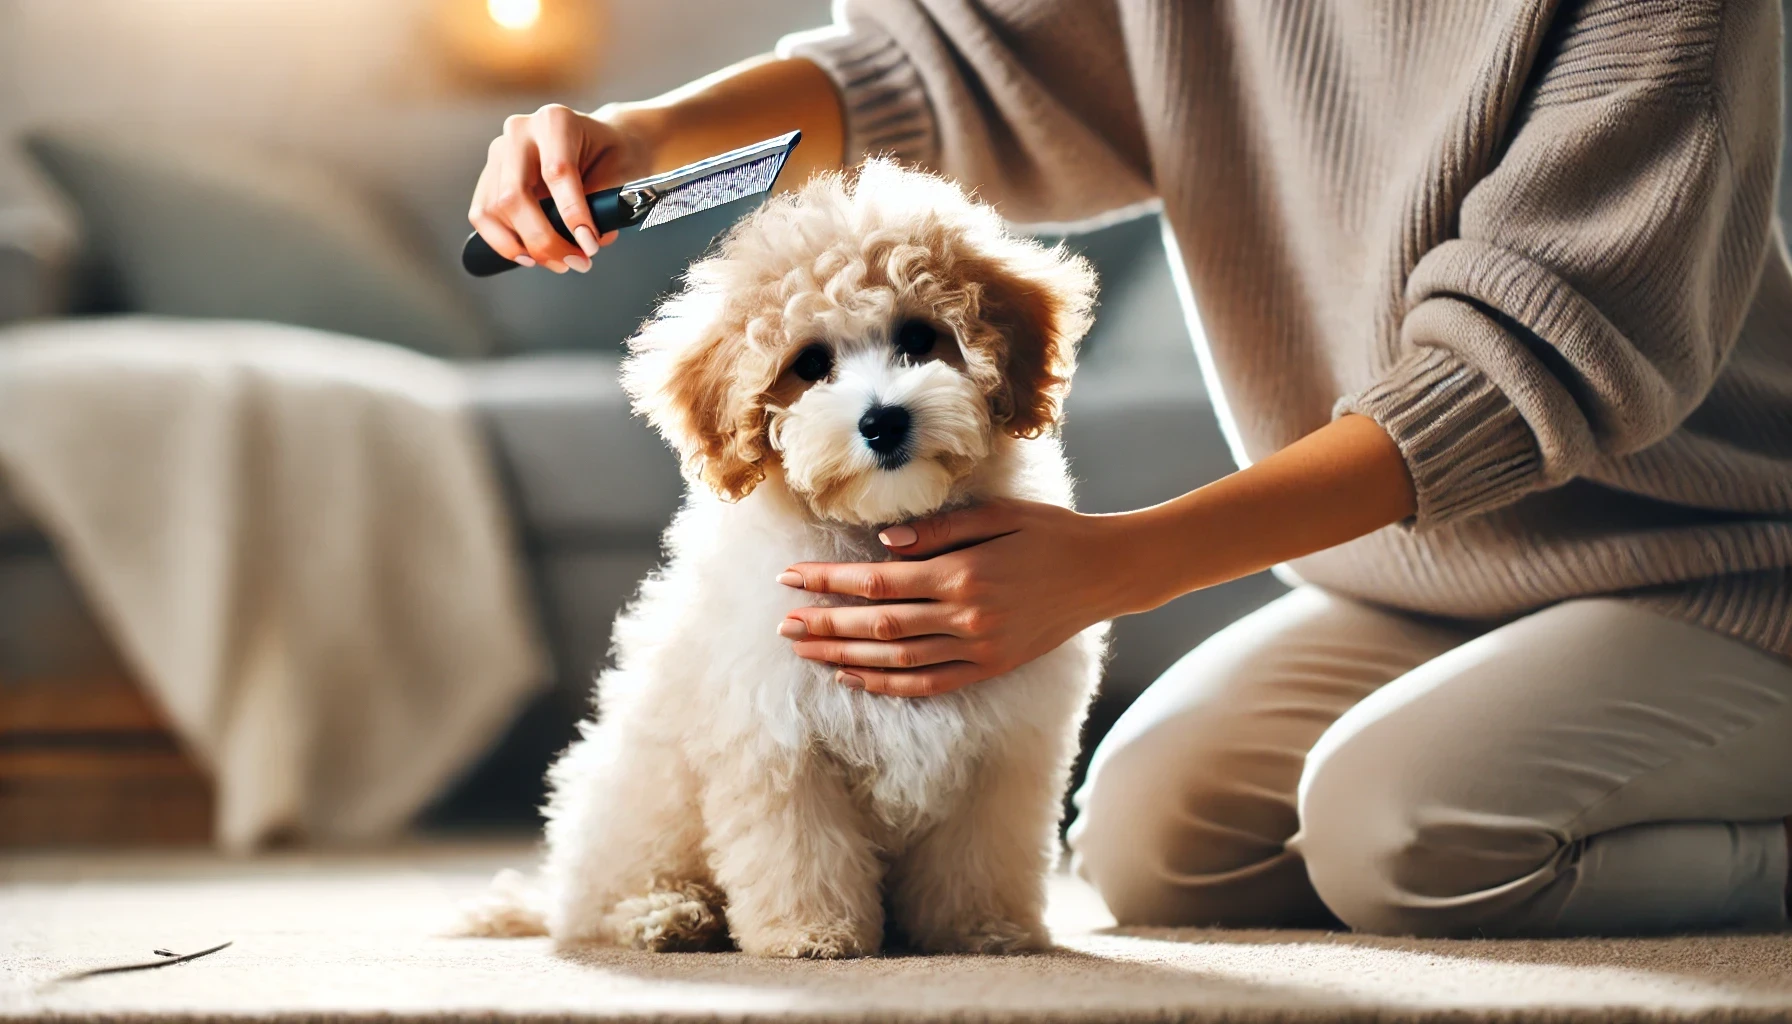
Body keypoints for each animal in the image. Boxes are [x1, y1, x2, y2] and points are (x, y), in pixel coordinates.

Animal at [462, 160, 1103, 961]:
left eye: (920, 337)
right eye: (811, 364)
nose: (883, 420)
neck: (875, 532)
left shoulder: (1003, 743)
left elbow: (978, 852)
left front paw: (980, 929)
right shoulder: (778, 735)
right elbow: (801, 849)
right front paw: (813, 933)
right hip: (625, 809)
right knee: (600, 903)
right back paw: (668, 914)